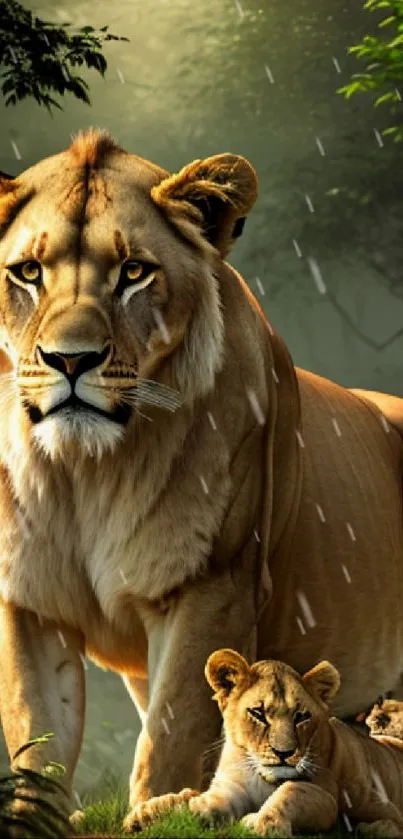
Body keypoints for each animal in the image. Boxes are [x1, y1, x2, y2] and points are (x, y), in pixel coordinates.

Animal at [129, 651, 403, 837]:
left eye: (301, 716)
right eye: (258, 713)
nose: (284, 753)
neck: (262, 779)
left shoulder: (327, 797)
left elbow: (293, 790)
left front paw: (263, 822)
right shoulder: (233, 786)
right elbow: (207, 799)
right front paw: (183, 810)